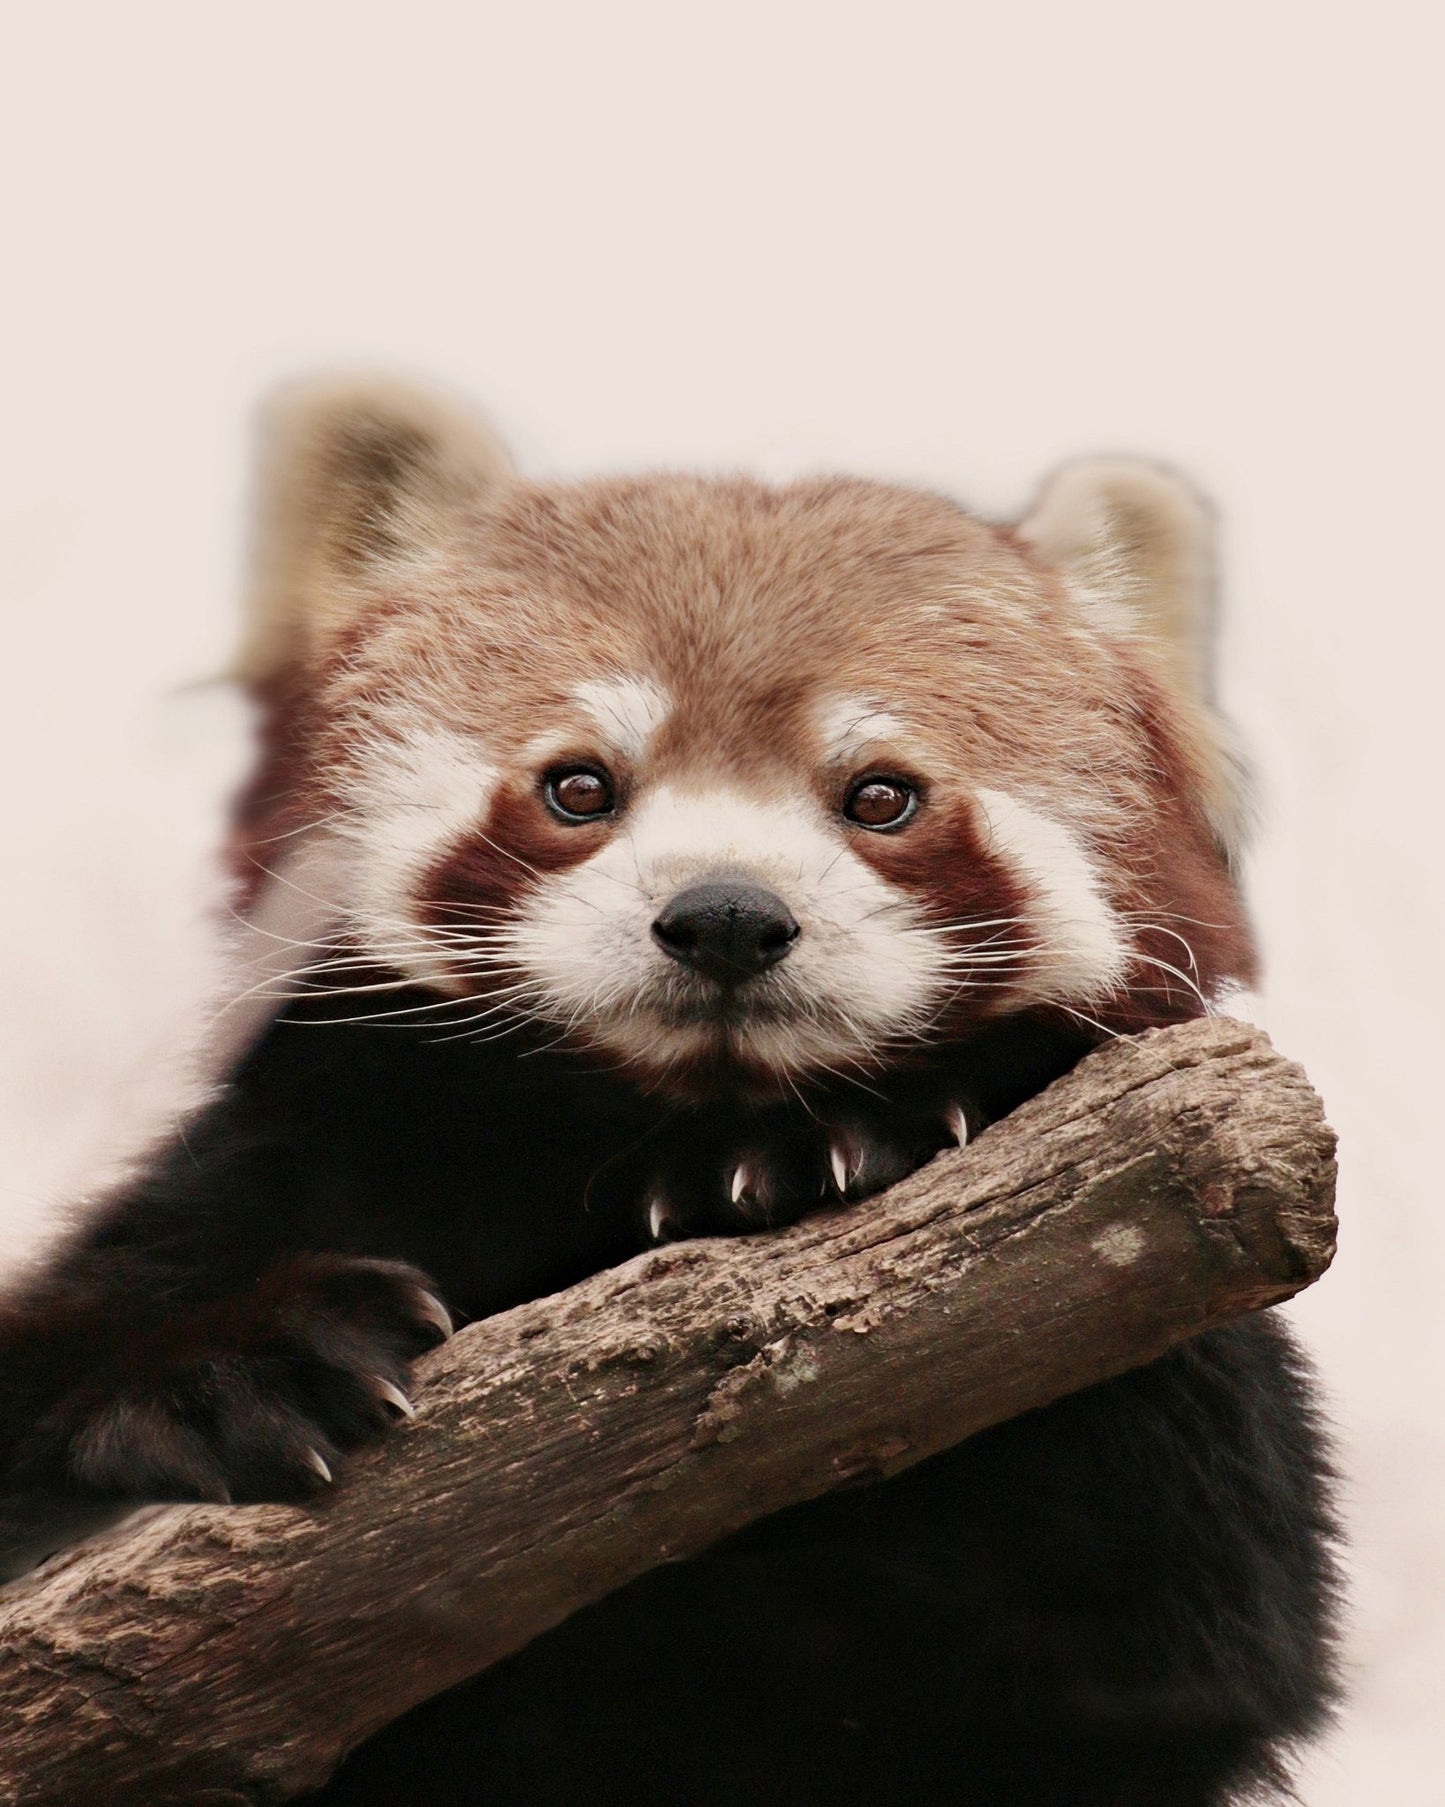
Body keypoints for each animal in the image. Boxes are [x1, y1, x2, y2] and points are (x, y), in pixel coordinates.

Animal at [0, 380, 1338, 1805]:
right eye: (579, 784)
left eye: (881, 796)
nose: (726, 916)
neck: (637, 1129)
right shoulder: (300, 1150)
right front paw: (226, 1371)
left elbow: (1175, 1608)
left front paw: (829, 1151)